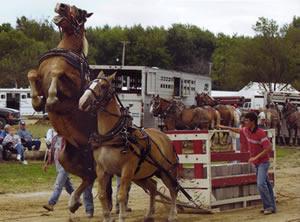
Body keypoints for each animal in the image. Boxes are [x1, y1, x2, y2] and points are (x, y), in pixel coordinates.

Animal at [78, 73, 179, 222]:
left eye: (103, 86)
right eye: (89, 84)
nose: (82, 102)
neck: (112, 135)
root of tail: (165, 138)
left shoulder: (126, 169)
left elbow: (121, 195)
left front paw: (121, 217)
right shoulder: (102, 169)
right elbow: (102, 195)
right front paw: (107, 218)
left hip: (166, 172)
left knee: (173, 189)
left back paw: (172, 214)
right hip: (140, 175)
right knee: (153, 187)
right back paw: (150, 214)